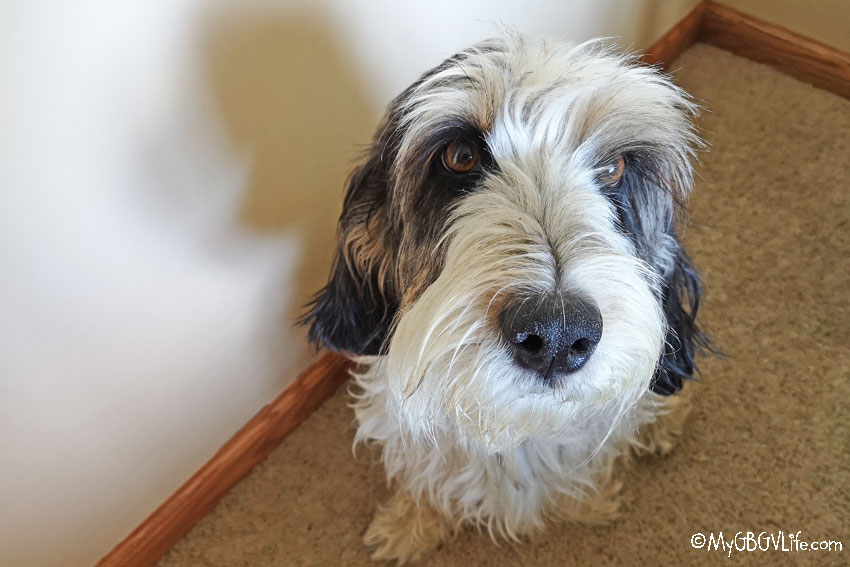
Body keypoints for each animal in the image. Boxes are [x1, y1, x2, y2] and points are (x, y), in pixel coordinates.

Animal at [303, 35, 709, 562]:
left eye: (615, 167)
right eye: (460, 155)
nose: (558, 334)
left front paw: (589, 502)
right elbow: (422, 477)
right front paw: (410, 526)